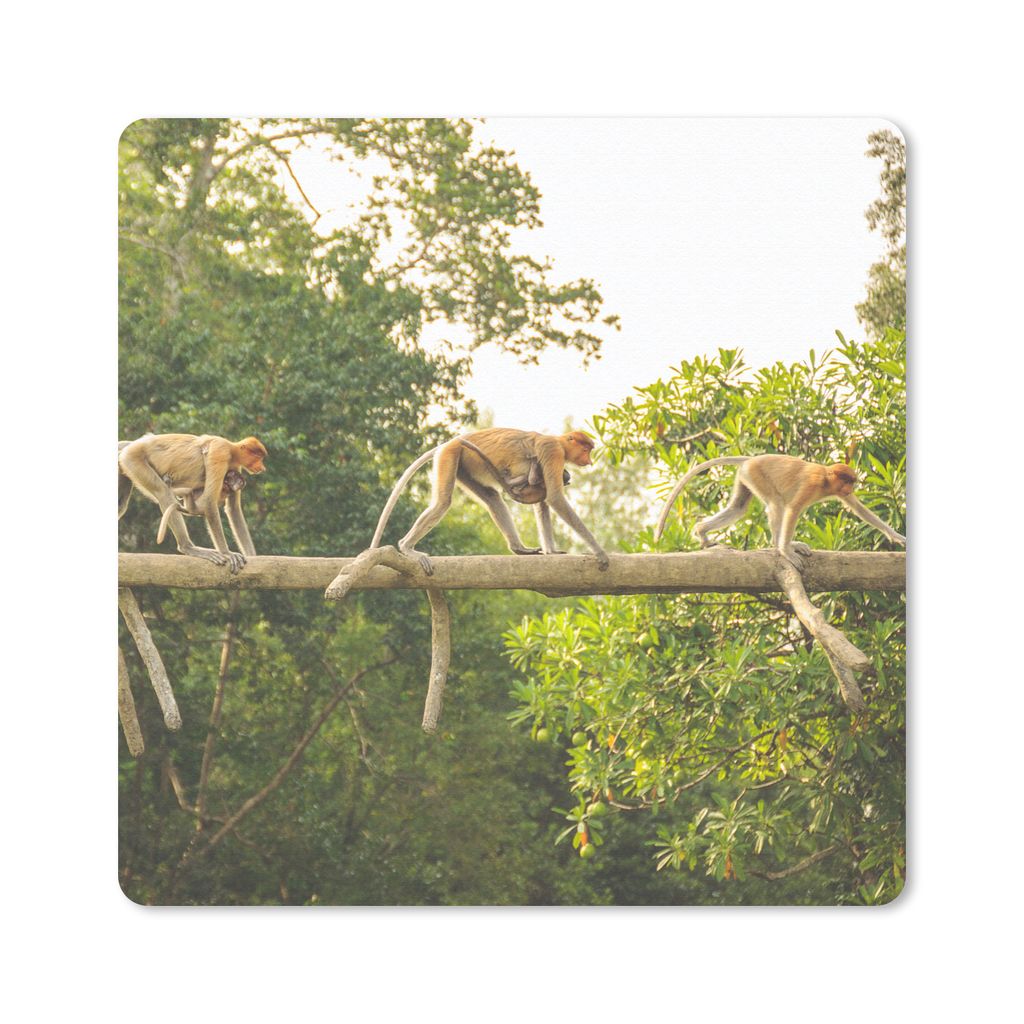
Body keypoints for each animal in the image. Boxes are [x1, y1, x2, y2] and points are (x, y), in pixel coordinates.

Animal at [118, 433, 266, 573]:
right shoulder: (220, 451)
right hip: (133, 459)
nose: (262, 467)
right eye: (258, 456)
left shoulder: (235, 467)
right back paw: (188, 547)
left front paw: (252, 556)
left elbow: (233, 508)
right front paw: (227, 553)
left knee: (121, 505)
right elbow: (209, 501)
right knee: (163, 492)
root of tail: (132, 445)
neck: (232, 449)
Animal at [370, 428, 610, 574]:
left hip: (465, 466)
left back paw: (519, 548)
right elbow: (555, 498)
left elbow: (543, 503)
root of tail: (450, 442)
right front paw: (600, 552)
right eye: (586, 449)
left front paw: (551, 551)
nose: (589, 460)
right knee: (443, 502)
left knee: (492, 498)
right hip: (451, 454)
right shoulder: (553, 453)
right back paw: (406, 547)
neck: (558, 441)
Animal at [654, 454, 905, 571]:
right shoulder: (811, 485)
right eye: (847, 481)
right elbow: (793, 509)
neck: (826, 479)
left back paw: (701, 533)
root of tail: (751, 459)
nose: (850, 488)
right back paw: (778, 546)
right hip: (757, 475)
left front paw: (897, 537)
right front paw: (786, 552)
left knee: (738, 507)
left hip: (745, 477)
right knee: (776, 503)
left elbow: (858, 508)